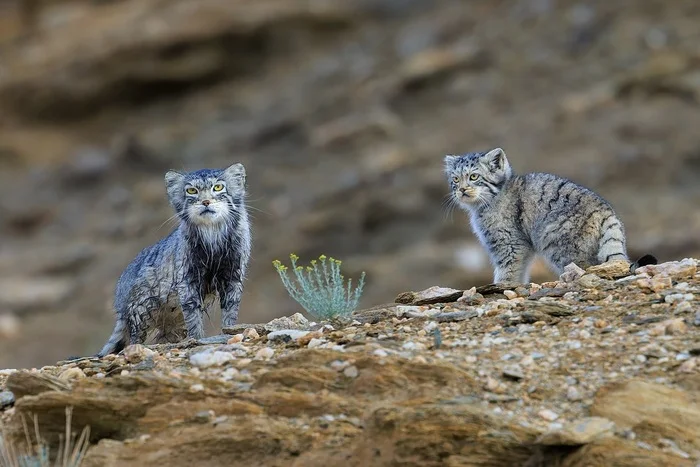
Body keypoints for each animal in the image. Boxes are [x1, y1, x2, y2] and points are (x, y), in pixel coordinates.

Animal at [448, 148, 636, 284]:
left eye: (474, 176)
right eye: (455, 179)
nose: (462, 189)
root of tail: (604, 210)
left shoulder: (510, 244)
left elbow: (507, 272)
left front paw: (501, 286)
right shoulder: (523, 247)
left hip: (561, 247)